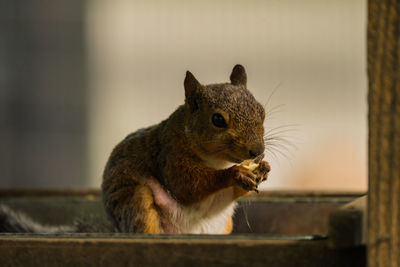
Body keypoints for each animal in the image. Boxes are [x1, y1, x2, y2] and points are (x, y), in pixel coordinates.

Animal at [101, 65, 270, 234]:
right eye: (218, 119)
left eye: (262, 112)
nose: (257, 151)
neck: (218, 161)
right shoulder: (171, 154)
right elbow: (186, 185)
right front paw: (235, 173)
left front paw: (263, 168)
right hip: (136, 200)